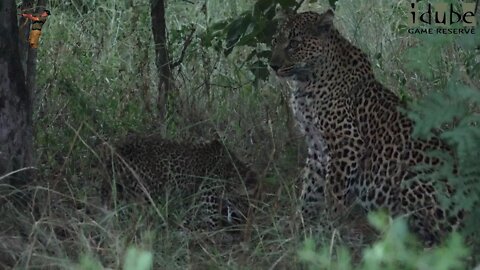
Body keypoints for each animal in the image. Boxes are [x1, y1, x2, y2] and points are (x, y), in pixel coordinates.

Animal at [268, 9, 464, 244]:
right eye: (276, 41)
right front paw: (299, 227)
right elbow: (310, 190)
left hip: (413, 179)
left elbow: (333, 194)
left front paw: (326, 232)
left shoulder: (346, 143)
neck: (305, 82)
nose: (272, 65)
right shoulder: (316, 147)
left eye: (294, 43)